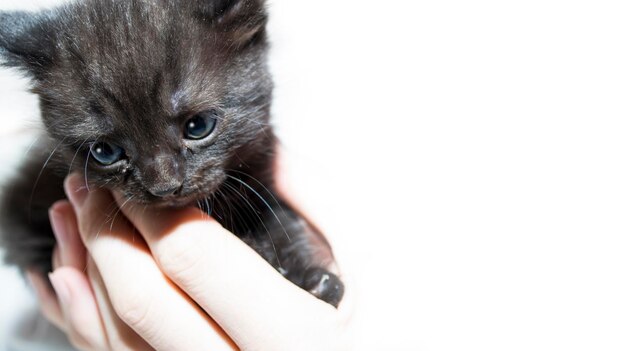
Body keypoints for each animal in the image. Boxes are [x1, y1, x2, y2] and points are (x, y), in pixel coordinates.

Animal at [0, 0, 342, 308]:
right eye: (105, 151)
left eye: (199, 125)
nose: (164, 187)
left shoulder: (261, 178)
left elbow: (282, 220)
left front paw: (312, 278)